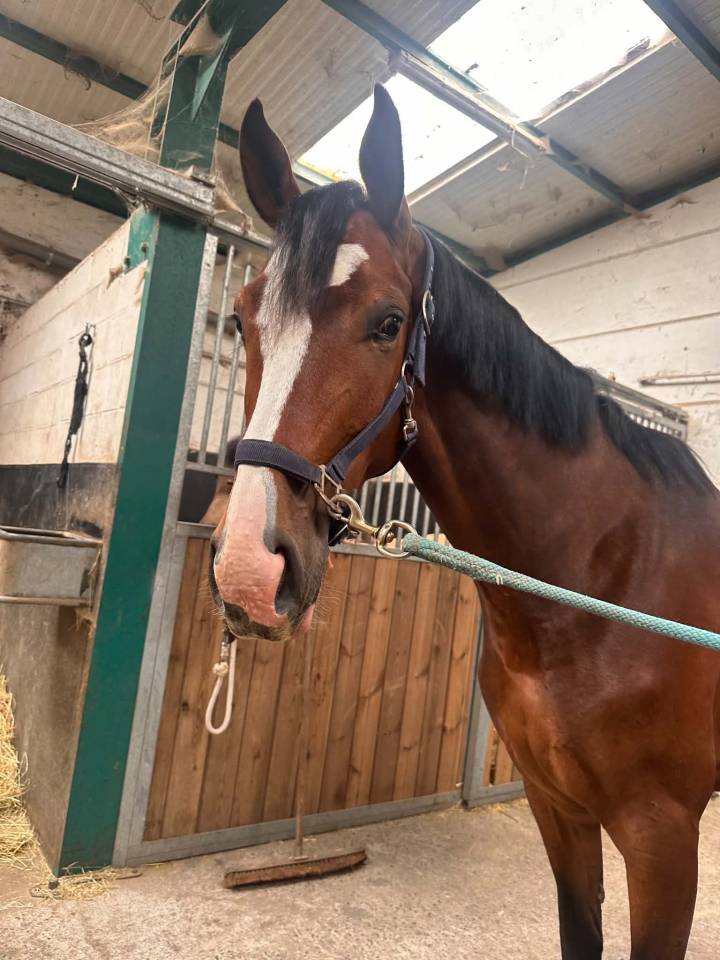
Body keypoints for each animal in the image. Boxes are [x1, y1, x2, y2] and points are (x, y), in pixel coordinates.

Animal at [209, 85, 720, 959]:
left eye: (387, 322)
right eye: (243, 320)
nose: (249, 567)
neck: (604, 583)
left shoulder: (663, 841)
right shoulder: (559, 812)